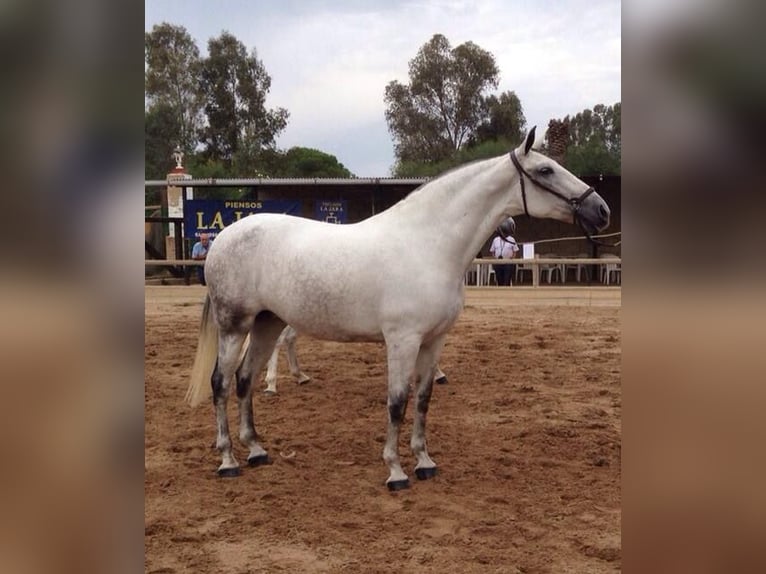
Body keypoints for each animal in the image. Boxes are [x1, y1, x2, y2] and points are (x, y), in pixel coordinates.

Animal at [188, 128, 612, 492]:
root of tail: (223, 237)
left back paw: (257, 450)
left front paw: (424, 462)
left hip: (267, 324)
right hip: (234, 325)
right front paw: (395, 471)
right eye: (545, 170)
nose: (601, 209)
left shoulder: (434, 340)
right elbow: (396, 402)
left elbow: (422, 400)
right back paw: (228, 460)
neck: (427, 244)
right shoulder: (402, 340)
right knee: (221, 382)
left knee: (244, 380)